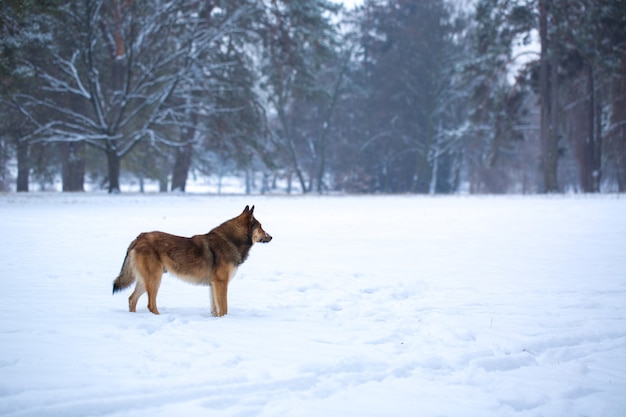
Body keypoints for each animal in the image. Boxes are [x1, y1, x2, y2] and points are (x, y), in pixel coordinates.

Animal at [111, 205, 270, 316]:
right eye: (261, 227)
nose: (271, 237)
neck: (231, 240)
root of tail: (139, 237)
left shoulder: (213, 285)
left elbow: (215, 310)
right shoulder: (221, 283)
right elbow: (224, 308)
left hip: (148, 280)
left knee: (132, 299)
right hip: (154, 279)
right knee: (150, 304)